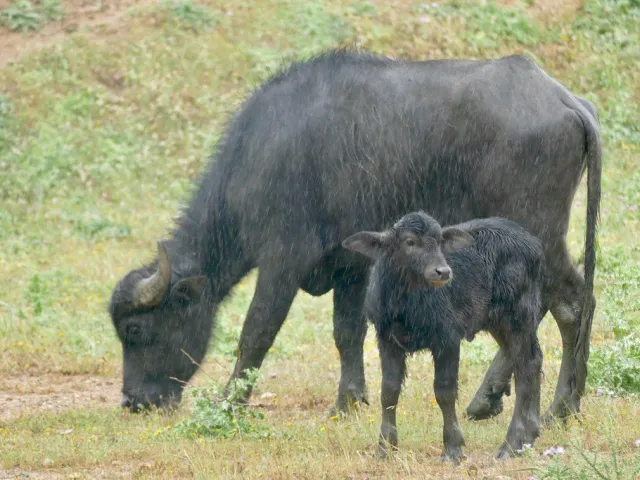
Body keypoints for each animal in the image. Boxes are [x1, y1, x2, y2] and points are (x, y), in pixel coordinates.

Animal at [108, 50, 601, 423]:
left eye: (135, 329)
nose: (134, 401)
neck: (261, 155)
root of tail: (562, 98)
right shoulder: (352, 266)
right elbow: (347, 332)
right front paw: (349, 400)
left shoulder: (283, 259)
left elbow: (257, 330)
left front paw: (231, 401)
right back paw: (496, 400)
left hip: (538, 231)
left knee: (571, 303)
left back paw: (559, 406)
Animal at [343, 212, 545, 460]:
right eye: (409, 241)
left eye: (439, 241)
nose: (443, 272)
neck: (407, 305)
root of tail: (533, 244)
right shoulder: (387, 341)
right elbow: (388, 392)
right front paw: (385, 448)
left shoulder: (447, 339)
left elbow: (444, 391)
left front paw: (453, 448)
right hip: (499, 322)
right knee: (531, 360)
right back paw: (529, 434)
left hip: (519, 314)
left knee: (526, 366)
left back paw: (513, 443)